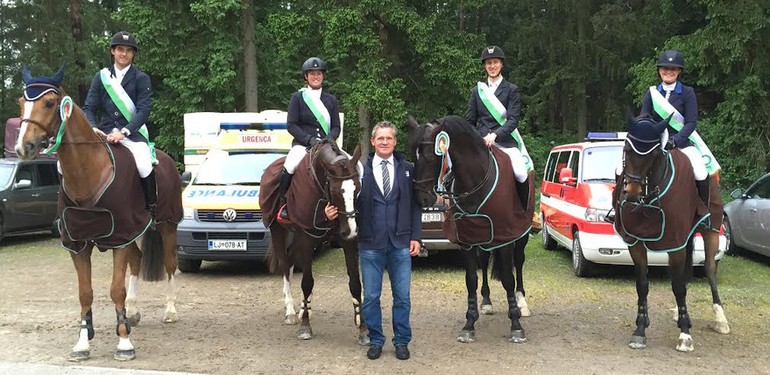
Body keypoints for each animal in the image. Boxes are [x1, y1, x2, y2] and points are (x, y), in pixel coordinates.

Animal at [15, 66, 184, 362]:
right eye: (21, 102)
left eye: (49, 103)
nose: (24, 147)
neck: (87, 174)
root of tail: (164, 158)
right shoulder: (79, 243)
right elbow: (85, 293)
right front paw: (83, 343)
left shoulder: (119, 237)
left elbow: (116, 289)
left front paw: (124, 343)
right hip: (135, 232)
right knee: (137, 260)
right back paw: (133, 312)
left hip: (167, 223)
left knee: (170, 264)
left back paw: (170, 311)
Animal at [258, 140, 366, 346]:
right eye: (335, 191)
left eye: (357, 188)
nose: (351, 229)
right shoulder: (306, 239)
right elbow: (307, 282)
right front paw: (305, 328)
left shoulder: (348, 243)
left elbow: (356, 283)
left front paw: (363, 330)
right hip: (278, 232)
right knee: (285, 266)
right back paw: (291, 311)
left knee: (292, 261)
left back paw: (302, 308)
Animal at [408, 116, 536, 346]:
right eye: (413, 156)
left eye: (431, 157)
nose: (422, 200)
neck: (476, 179)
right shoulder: (468, 239)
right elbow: (471, 280)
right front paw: (469, 324)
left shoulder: (504, 237)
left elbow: (508, 278)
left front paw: (516, 325)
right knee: (484, 263)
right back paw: (486, 302)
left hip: (520, 234)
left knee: (519, 262)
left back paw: (522, 303)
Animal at [612, 114, 728, 352]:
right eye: (627, 149)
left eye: (653, 154)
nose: (631, 193)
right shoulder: (636, 243)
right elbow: (642, 285)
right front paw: (640, 329)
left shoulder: (675, 243)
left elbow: (678, 286)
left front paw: (685, 334)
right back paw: (679, 312)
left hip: (710, 231)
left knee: (709, 270)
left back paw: (720, 319)